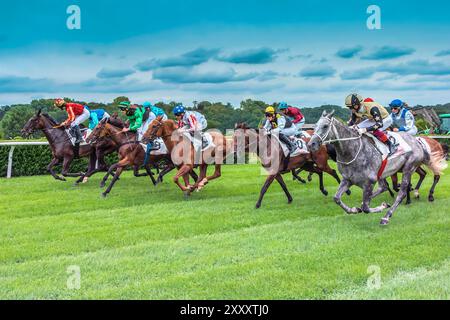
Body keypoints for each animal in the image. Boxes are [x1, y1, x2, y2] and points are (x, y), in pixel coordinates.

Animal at [306, 111, 446, 226]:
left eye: (325, 126)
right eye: (315, 126)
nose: (311, 144)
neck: (352, 151)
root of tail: (417, 141)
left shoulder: (369, 181)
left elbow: (366, 208)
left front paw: (381, 207)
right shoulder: (347, 180)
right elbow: (337, 198)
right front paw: (354, 209)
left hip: (408, 168)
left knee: (401, 193)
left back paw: (386, 216)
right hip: (387, 172)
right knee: (384, 187)